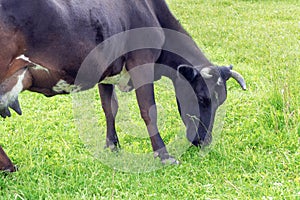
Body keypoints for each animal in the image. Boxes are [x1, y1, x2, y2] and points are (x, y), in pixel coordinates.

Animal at [0, 0, 246, 172]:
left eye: (221, 101)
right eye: (203, 98)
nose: (204, 141)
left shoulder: (106, 71)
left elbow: (110, 108)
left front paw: (112, 146)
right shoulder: (141, 62)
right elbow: (149, 111)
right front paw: (164, 155)